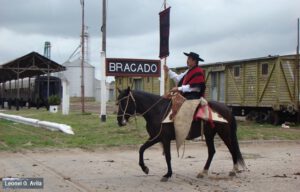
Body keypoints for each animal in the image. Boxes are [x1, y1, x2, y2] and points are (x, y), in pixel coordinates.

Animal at [116, 88, 245, 182]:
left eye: (124, 101)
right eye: (118, 102)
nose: (119, 121)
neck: (157, 110)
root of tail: (227, 109)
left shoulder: (165, 139)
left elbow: (168, 156)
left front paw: (167, 175)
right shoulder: (155, 137)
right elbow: (141, 149)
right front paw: (145, 168)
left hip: (224, 133)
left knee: (232, 149)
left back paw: (234, 170)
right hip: (209, 134)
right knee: (212, 151)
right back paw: (203, 172)